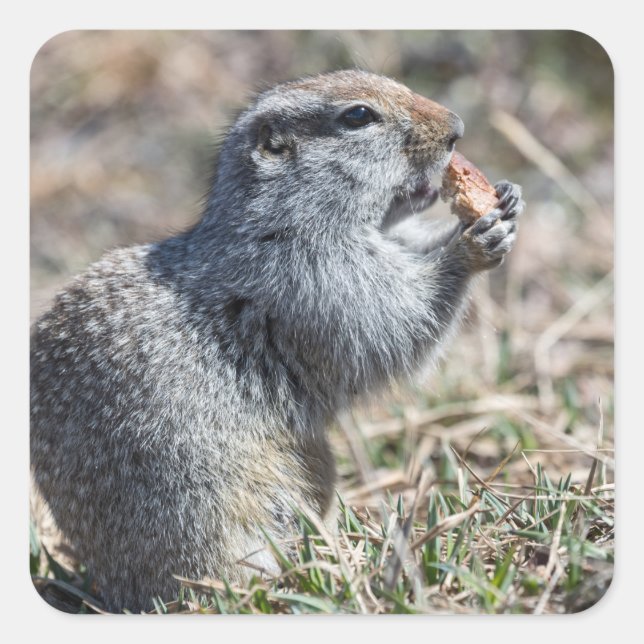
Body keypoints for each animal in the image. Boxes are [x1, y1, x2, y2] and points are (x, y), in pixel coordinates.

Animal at [30, 70, 524, 613]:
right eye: (358, 116)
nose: (457, 128)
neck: (280, 221)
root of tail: (118, 590)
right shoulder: (315, 277)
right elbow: (392, 318)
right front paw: (470, 247)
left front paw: (506, 199)